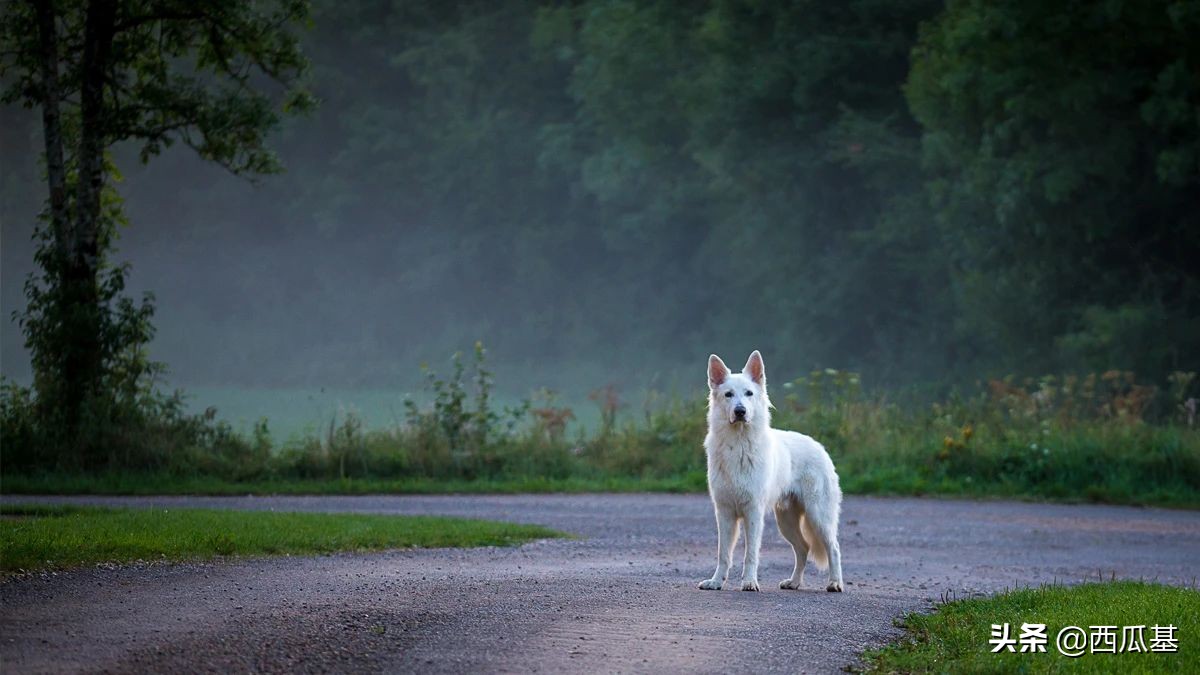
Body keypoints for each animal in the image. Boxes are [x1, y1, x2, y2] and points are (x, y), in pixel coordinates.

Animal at [696, 353, 844, 588]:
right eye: (729, 395)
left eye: (749, 393)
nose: (740, 411)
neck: (739, 445)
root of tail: (819, 447)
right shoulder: (724, 512)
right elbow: (723, 554)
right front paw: (716, 582)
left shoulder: (753, 512)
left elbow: (750, 554)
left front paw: (749, 582)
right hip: (786, 521)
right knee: (803, 548)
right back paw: (794, 582)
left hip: (818, 516)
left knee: (834, 548)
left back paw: (835, 583)